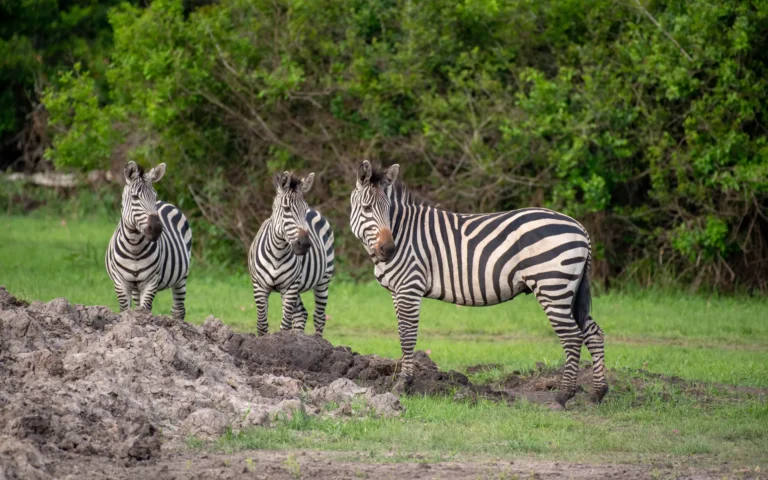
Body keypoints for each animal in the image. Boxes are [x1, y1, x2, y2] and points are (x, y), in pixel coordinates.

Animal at [106, 161, 192, 320]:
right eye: (135, 197)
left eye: (154, 196)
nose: (157, 228)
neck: (134, 246)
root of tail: (164, 202)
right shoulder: (121, 283)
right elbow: (126, 311)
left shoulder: (151, 282)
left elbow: (145, 310)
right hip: (136, 287)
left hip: (182, 276)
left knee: (178, 309)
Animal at [248, 171, 335, 336]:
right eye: (286, 208)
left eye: (304, 209)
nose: (305, 244)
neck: (277, 252)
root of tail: (315, 211)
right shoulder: (259, 286)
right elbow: (262, 324)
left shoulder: (290, 286)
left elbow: (285, 325)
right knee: (301, 314)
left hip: (323, 280)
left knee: (319, 317)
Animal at [349, 160, 607, 407]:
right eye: (367, 208)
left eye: (388, 210)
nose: (389, 250)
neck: (402, 232)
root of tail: (580, 228)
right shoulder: (397, 291)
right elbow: (404, 334)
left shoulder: (409, 287)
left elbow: (407, 336)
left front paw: (403, 385)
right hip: (568, 291)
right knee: (593, 332)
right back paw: (598, 393)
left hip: (552, 286)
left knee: (572, 337)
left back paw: (564, 396)